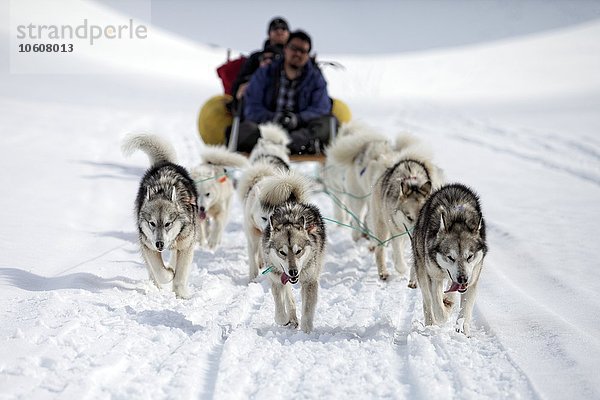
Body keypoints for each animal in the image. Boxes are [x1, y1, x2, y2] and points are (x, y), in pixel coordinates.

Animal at [121, 133, 197, 298]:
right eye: (152, 223)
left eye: (168, 223)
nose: (160, 244)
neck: (162, 190)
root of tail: (165, 163)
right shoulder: (148, 246)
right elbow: (161, 272)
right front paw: (169, 273)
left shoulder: (186, 245)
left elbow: (180, 275)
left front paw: (181, 295)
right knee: (152, 271)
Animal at [262, 200, 326, 334]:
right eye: (282, 252)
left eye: (298, 251)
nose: (293, 272)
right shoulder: (277, 281)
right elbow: (280, 314)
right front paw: (285, 320)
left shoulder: (310, 282)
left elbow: (307, 310)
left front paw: (306, 332)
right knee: (289, 298)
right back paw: (292, 319)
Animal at [368, 136, 442, 282]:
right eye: (409, 217)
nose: (418, 234)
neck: (413, 182)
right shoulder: (395, 231)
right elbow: (398, 257)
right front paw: (402, 268)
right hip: (382, 226)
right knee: (380, 250)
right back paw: (383, 272)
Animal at [412, 183, 488, 336]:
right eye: (450, 257)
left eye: (469, 256)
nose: (463, 279)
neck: (457, 216)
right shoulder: (434, 277)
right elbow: (439, 309)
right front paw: (445, 309)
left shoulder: (472, 280)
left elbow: (465, 310)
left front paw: (463, 331)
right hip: (422, 272)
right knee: (427, 302)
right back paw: (431, 324)